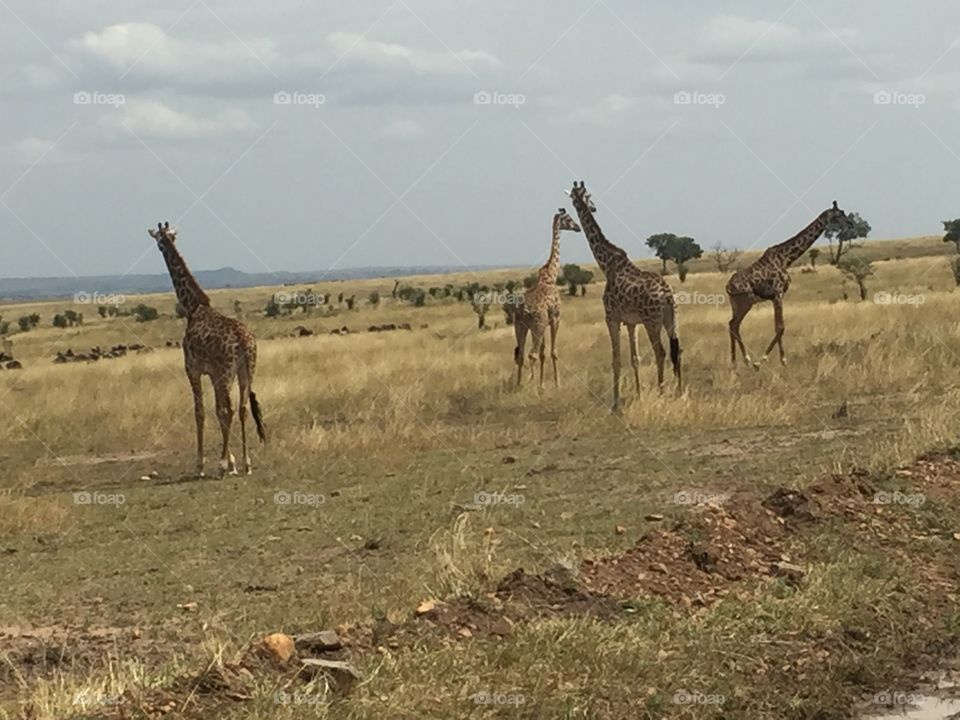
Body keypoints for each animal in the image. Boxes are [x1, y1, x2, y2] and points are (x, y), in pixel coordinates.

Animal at [146, 221, 266, 478]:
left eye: (160, 240)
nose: (161, 245)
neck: (193, 307)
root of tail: (244, 340)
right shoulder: (212, 373)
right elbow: (217, 411)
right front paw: (232, 462)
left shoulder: (193, 369)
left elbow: (200, 412)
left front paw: (203, 464)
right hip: (246, 371)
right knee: (241, 408)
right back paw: (247, 463)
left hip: (227, 371)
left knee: (230, 409)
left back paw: (220, 466)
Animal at [512, 208, 580, 388]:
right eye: (568, 218)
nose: (578, 227)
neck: (550, 276)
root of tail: (524, 310)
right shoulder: (555, 318)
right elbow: (553, 352)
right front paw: (557, 384)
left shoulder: (546, 323)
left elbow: (544, 353)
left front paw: (542, 385)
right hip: (538, 325)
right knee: (532, 354)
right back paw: (530, 384)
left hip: (520, 326)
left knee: (521, 354)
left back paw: (519, 385)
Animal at [568, 180, 680, 410]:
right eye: (589, 196)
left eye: (578, 197)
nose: (593, 207)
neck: (606, 264)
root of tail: (667, 294)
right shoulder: (631, 322)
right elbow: (634, 358)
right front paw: (638, 395)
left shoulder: (611, 317)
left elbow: (616, 359)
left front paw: (615, 403)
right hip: (670, 319)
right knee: (676, 350)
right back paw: (680, 391)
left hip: (652, 321)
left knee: (661, 352)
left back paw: (661, 392)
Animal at [728, 202, 848, 372]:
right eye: (840, 214)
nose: (850, 223)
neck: (787, 259)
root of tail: (728, 287)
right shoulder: (778, 294)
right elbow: (781, 327)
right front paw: (762, 361)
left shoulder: (776, 297)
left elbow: (777, 327)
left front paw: (782, 361)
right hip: (746, 302)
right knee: (734, 324)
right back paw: (746, 360)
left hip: (735, 304)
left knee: (732, 325)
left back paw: (735, 362)